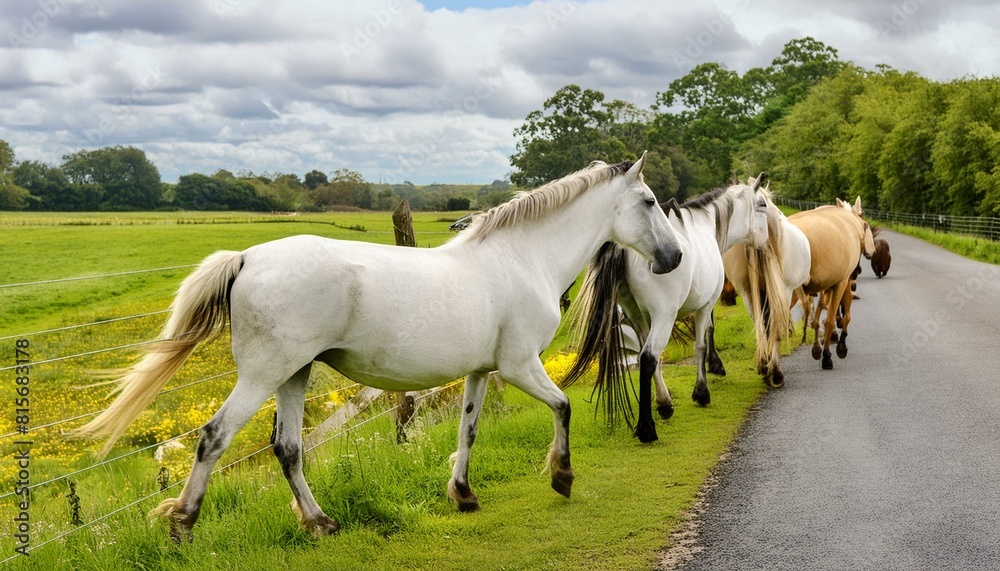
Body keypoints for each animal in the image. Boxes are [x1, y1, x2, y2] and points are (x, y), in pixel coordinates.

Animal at [72, 154, 684, 541]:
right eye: (650, 201)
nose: (674, 258)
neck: (520, 258)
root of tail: (247, 258)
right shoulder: (519, 367)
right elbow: (563, 406)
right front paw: (561, 477)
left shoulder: (481, 372)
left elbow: (468, 430)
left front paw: (463, 494)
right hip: (263, 376)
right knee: (215, 437)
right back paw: (182, 523)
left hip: (294, 375)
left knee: (286, 448)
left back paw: (319, 524)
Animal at [562, 175, 772, 443]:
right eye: (761, 204)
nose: (766, 242)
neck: (705, 225)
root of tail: (623, 246)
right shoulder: (706, 303)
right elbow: (702, 341)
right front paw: (702, 390)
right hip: (664, 315)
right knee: (648, 356)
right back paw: (646, 428)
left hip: (635, 313)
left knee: (647, 354)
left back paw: (663, 403)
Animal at [707, 178, 811, 388]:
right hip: (784, 290)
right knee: (774, 324)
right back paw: (775, 372)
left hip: (747, 292)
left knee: (760, 324)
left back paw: (764, 365)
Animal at [788, 197, 875, 370]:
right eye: (866, 224)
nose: (872, 251)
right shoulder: (843, 282)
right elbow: (841, 316)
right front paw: (833, 350)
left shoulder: (827, 285)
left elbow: (823, 311)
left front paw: (819, 346)